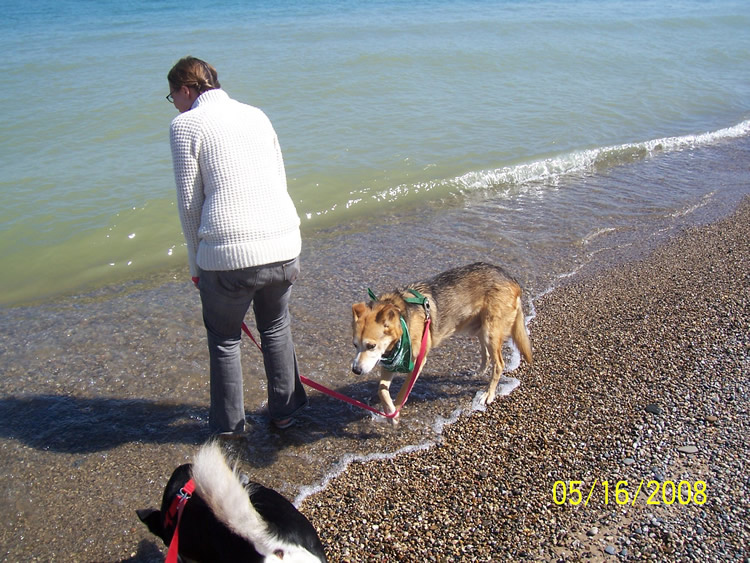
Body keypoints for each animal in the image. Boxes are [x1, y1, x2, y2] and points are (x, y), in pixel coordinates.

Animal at [354, 264, 536, 418]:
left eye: (371, 346)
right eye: (355, 345)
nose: (355, 370)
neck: (402, 316)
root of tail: (512, 279)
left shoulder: (417, 361)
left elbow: (403, 391)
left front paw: (396, 411)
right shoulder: (391, 360)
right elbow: (381, 390)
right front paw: (390, 411)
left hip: (490, 332)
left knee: (499, 364)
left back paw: (489, 394)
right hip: (479, 329)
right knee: (487, 355)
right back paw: (478, 372)